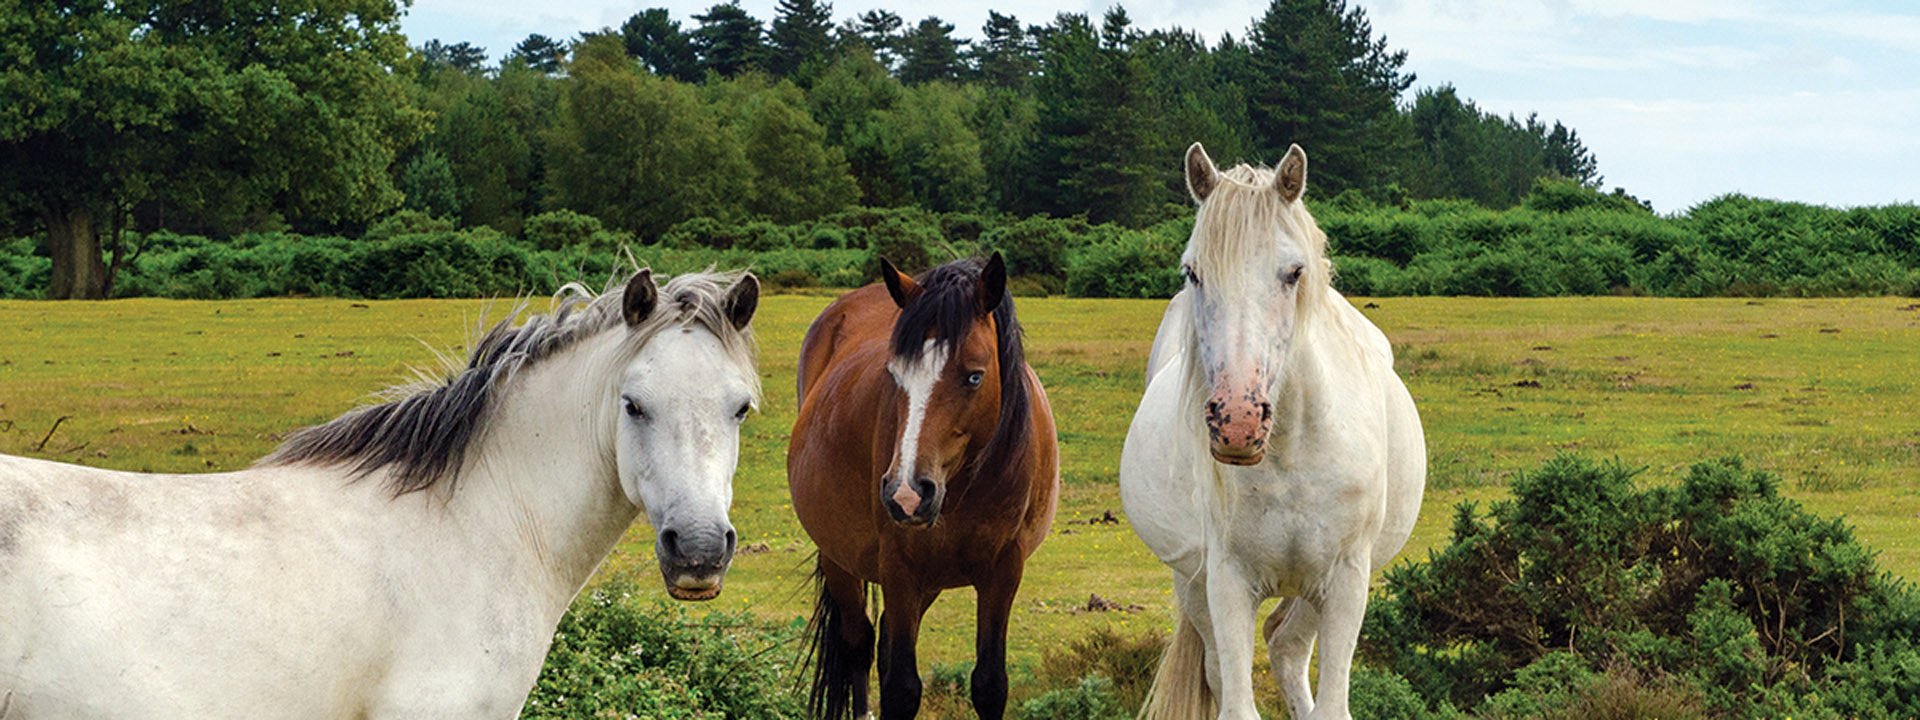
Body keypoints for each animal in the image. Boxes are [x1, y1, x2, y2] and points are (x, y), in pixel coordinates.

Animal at [788, 254, 1059, 720]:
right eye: (894, 374)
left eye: (974, 377)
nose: (907, 493)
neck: (969, 484)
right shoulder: (899, 567)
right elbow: (901, 687)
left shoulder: (1004, 570)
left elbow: (989, 684)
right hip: (840, 557)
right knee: (859, 642)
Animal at [1121, 143, 1427, 720]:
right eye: (1193, 272)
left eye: (1293, 272)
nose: (1237, 422)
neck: (1289, 457)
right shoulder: (1227, 581)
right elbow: (1236, 701)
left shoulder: (1347, 579)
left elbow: (1332, 705)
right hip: (1194, 583)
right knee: (1227, 666)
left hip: (1310, 589)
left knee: (1286, 647)